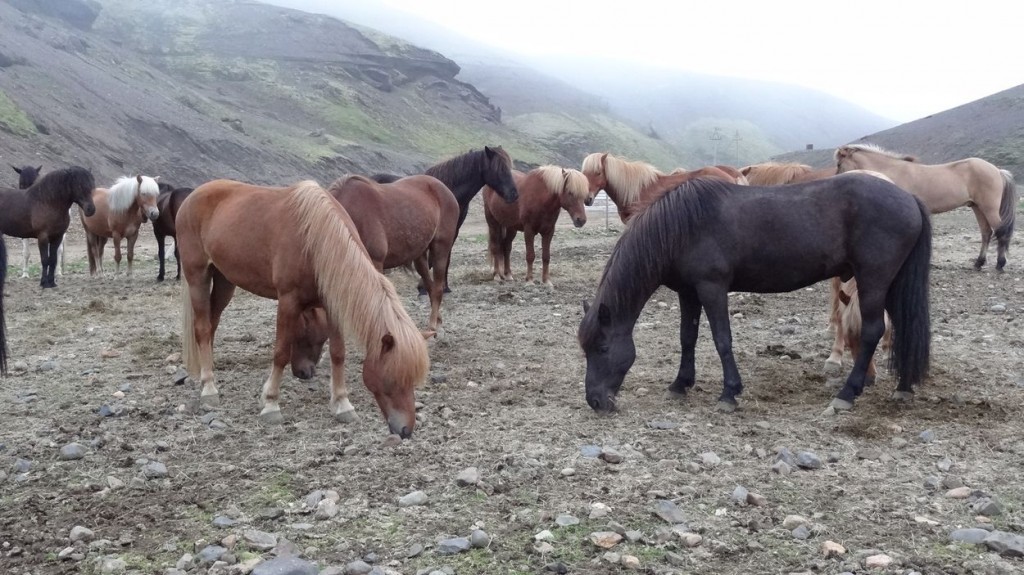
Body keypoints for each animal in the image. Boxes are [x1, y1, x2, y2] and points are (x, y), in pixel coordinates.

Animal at [176, 179, 431, 437]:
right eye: (392, 379)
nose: (405, 430)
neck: (315, 239)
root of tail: (193, 196)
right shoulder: (288, 300)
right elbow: (280, 352)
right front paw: (271, 404)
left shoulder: (332, 304)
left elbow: (338, 353)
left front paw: (343, 404)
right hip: (198, 276)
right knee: (202, 328)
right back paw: (209, 388)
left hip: (225, 280)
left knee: (212, 324)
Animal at [327, 174, 459, 332]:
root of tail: (443, 188)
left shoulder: (375, 263)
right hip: (419, 255)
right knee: (429, 285)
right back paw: (437, 320)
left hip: (441, 248)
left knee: (437, 288)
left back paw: (432, 326)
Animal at [372, 146, 519, 292]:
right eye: (499, 169)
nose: (514, 194)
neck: (448, 190)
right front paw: (424, 286)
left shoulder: (453, 230)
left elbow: (446, 258)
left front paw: (445, 286)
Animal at [578, 173, 932, 414]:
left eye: (602, 347)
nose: (595, 400)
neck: (682, 227)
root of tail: (909, 197)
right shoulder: (688, 293)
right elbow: (687, 338)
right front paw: (680, 384)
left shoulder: (712, 288)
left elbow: (722, 339)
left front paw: (729, 393)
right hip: (891, 283)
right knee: (903, 327)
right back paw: (903, 387)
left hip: (873, 280)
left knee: (873, 331)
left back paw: (847, 394)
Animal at [835, 143, 1018, 270]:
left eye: (838, 164)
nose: (836, 180)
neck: (892, 171)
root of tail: (997, 170)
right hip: (977, 207)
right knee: (986, 233)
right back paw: (979, 263)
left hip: (989, 208)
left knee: (1001, 232)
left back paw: (1000, 264)